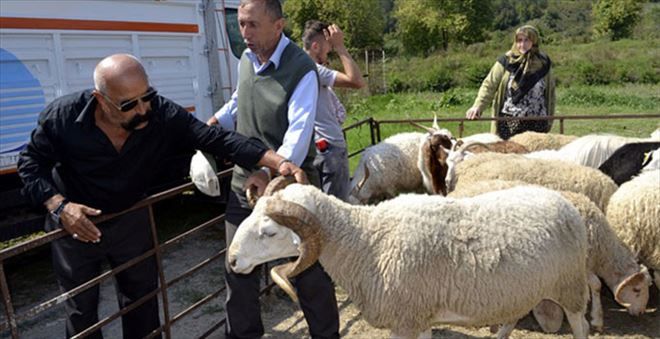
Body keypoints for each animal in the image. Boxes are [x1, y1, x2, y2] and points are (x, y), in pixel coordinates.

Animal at [227, 179, 588, 338]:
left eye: (269, 231)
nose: (231, 261)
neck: (365, 241)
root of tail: (567, 206)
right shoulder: (418, 317)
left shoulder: (406, 319)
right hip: (525, 289)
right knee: (513, 316)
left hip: (571, 287)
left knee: (580, 325)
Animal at [448, 182, 648, 334]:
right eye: (637, 289)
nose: (640, 314)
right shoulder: (579, 265)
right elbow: (596, 284)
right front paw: (596, 319)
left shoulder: (578, 266)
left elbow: (594, 284)